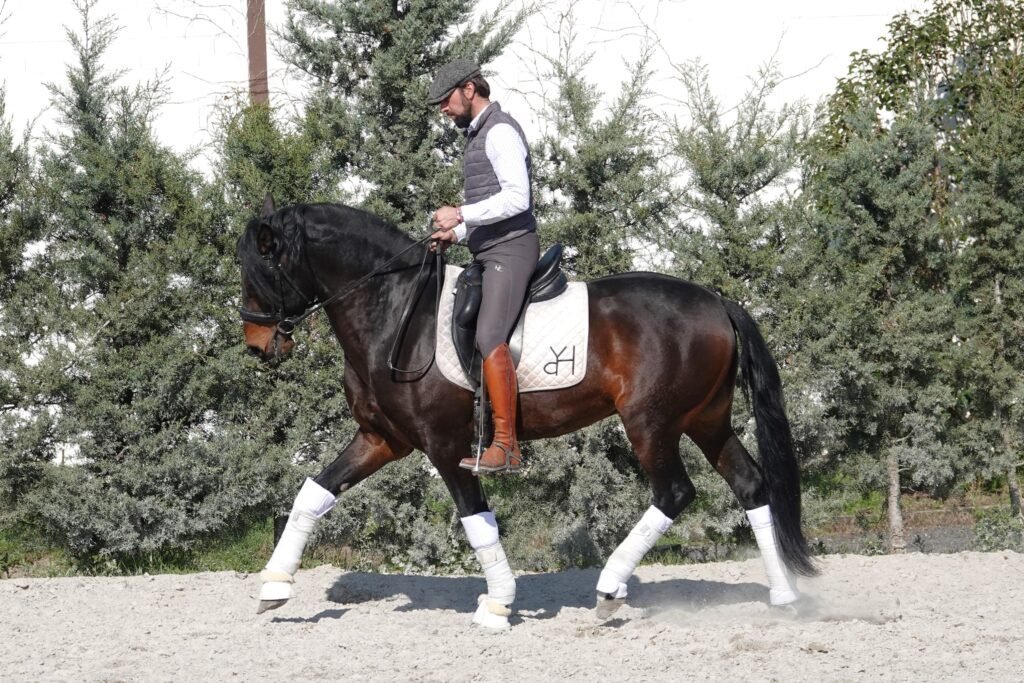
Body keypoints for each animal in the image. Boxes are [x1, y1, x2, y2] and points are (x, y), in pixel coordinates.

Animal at [238, 195, 817, 628]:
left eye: (258, 268)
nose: (257, 345)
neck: (397, 311)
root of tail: (718, 303)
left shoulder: (445, 446)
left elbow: (476, 519)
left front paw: (497, 603)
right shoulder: (381, 438)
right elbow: (313, 492)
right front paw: (273, 586)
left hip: (651, 423)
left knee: (674, 492)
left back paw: (610, 587)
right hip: (705, 421)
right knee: (751, 485)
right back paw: (784, 597)